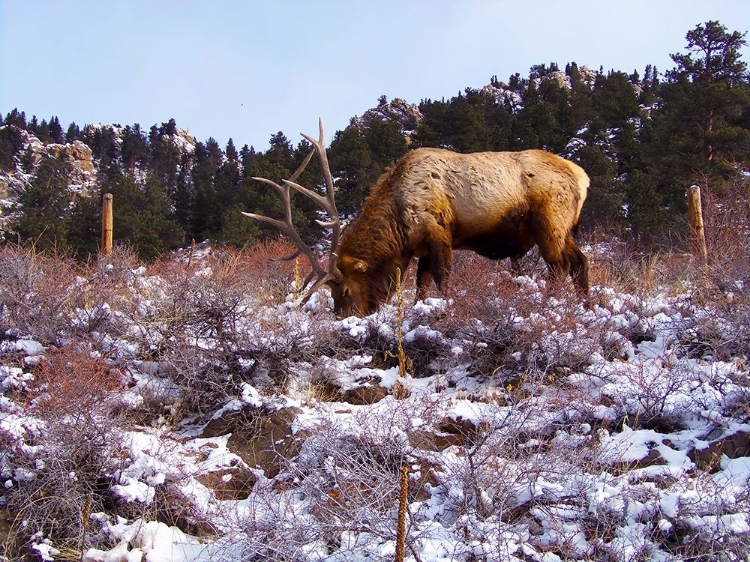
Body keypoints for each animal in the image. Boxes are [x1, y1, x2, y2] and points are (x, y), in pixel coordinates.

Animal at [244, 120, 592, 318]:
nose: (344, 318)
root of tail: (582, 177)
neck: (397, 227)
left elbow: (442, 279)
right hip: (565, 229)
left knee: (560, 267)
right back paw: (585, 307)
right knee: (580, 262)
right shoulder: (420, 248)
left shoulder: (439, 233)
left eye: (343, 290)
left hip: (550, 222)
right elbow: (421, 286)